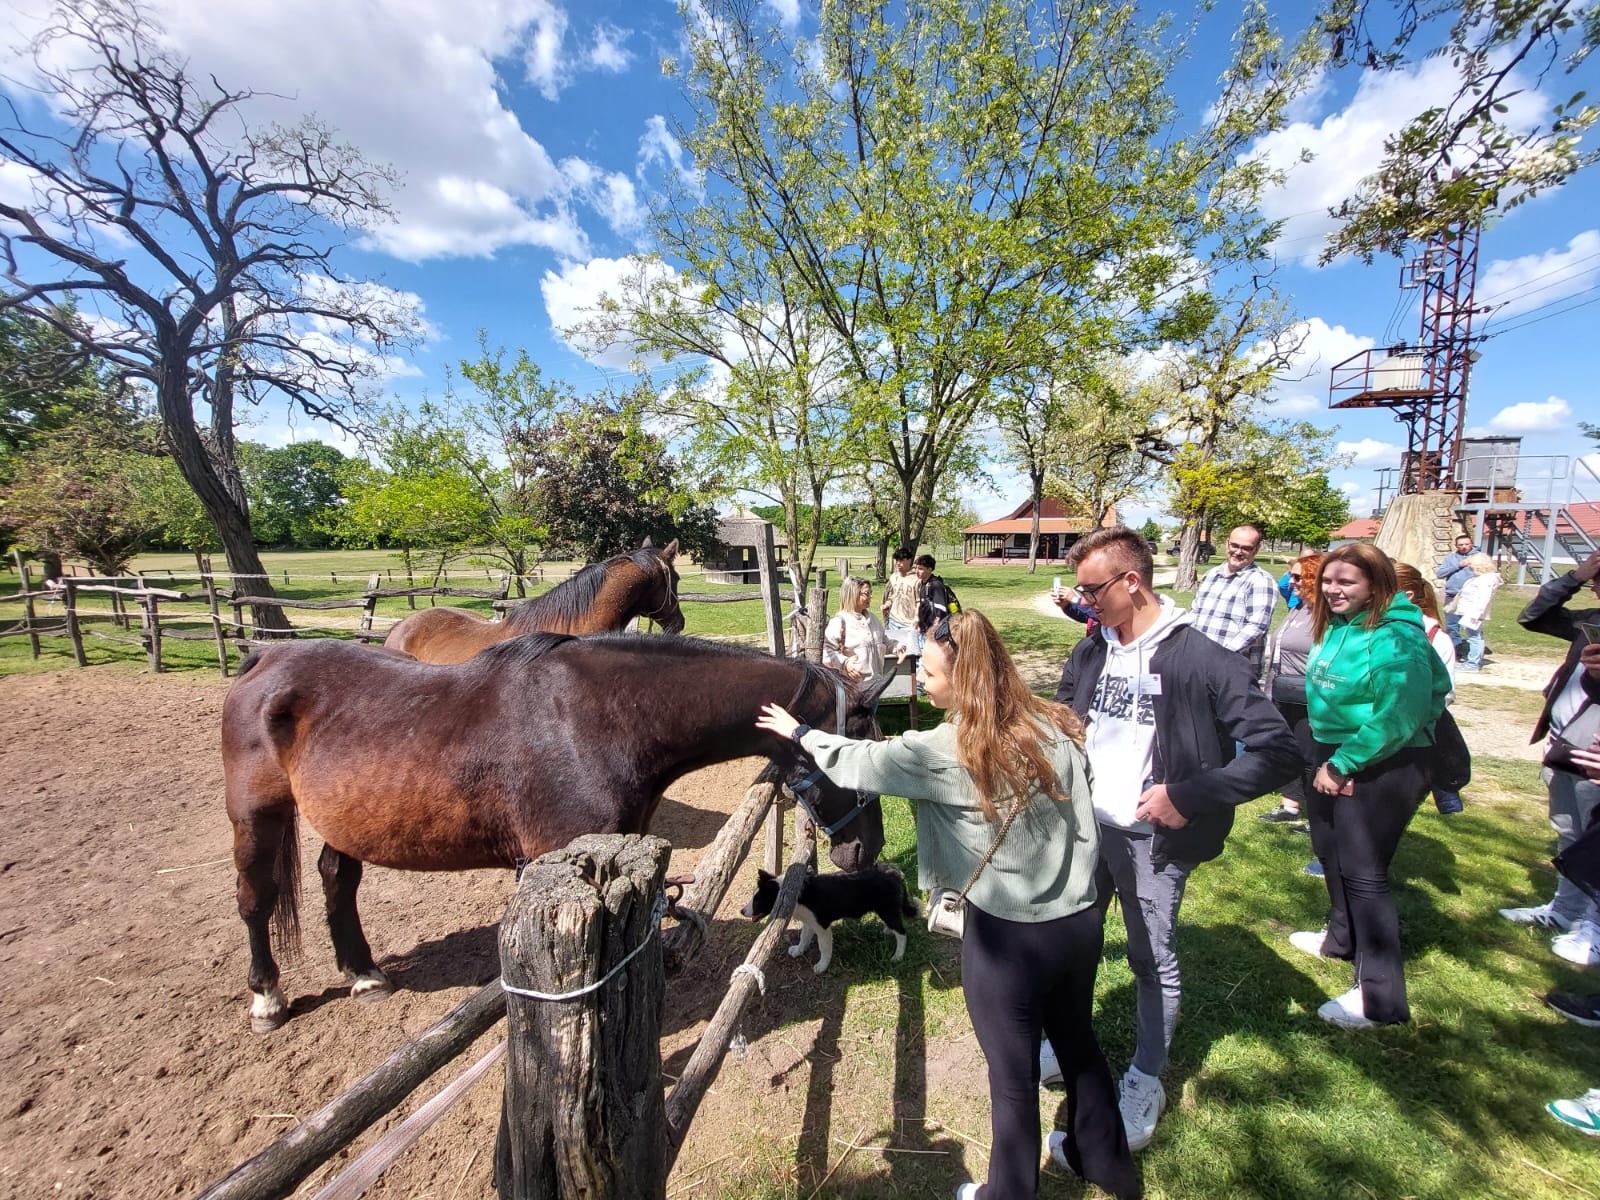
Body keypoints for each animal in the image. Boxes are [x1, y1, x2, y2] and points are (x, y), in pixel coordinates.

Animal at [222, 632, 894, 1032]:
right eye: (849, 752)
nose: (869, 849)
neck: (600, 723)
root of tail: (265, 659)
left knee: (337, 879)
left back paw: (362, 973)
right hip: (256, 817)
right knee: (255, 900)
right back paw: (267, 999)